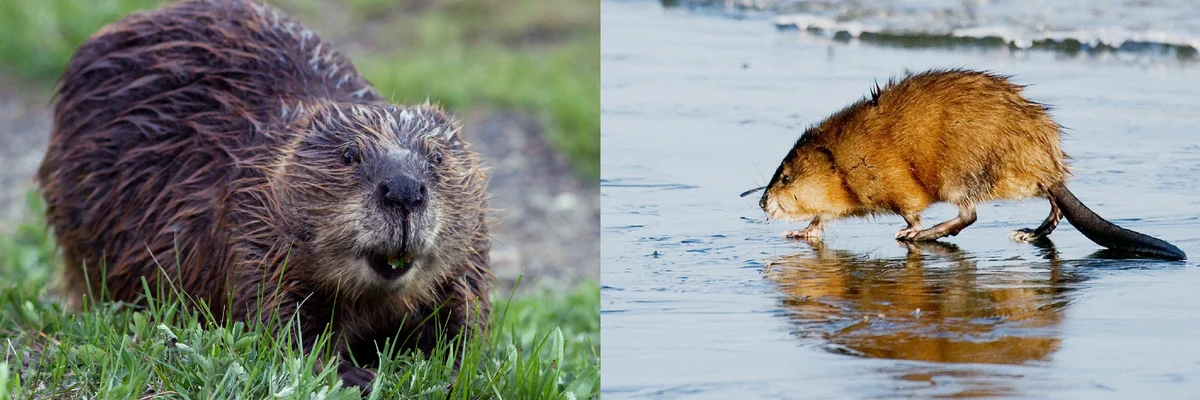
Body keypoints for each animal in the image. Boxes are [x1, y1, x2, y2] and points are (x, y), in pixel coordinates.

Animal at [38, 0, 487, 389]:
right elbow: (277, 320)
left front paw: (454, 369)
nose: (403, 190)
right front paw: (356, 375)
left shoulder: (470, 252)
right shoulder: (247, 227)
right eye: (348, 155)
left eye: (438, 155)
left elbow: (466, 313)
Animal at [753, 68, 1185, 260]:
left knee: (970, 213)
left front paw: (910, 230)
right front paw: (801, 232)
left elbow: (912, 210)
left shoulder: (893, 178)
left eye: (785, 176)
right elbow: (822, 218)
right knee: (1052, 205)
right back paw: (1029, 232)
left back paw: (925, 236)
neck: (844, 157)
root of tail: (1050, 165)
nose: (762, 202)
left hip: (965, 173)